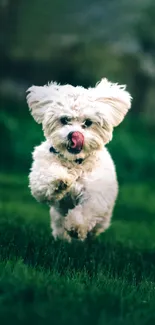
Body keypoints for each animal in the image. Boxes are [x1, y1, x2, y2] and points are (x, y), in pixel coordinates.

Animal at [26, 78, 132, 240]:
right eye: (64, 120)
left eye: (88, 122)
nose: (74, 135)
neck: (75, 162)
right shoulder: (41, 174)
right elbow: (45, 181)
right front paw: (60, 180)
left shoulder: (96, 194)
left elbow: (88, 210)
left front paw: (76, 226)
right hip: (57, 216)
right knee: (59, 225)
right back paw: (61, 238)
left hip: (104, 218)